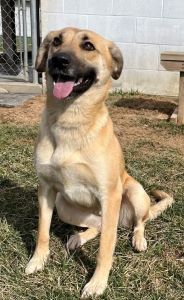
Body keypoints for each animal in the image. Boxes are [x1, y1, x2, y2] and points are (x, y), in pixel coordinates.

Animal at [25, 27, 174, 298]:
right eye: (56, 41)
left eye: (88, 46)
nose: (59, 60)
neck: (71, 122)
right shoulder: (46, 189)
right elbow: (42, 231)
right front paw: (37, 261)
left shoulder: (109, 193)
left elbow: (106, 249)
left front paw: (97, 283)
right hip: (64, 205)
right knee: (100, 226)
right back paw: (78, 238)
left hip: (134, 193)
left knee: (138, 222)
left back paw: (138, 239)